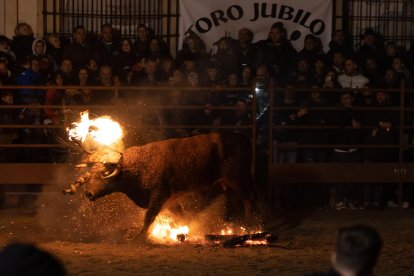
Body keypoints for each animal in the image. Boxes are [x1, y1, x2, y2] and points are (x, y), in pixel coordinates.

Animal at [64, 133, 256, 238]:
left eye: (103, 174)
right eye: (92, 174)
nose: (88, 193)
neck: (137, 166)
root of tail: (243, 139)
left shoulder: (159, 195)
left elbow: (149, 217)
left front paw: (139, 237)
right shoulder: (170, 200)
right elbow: (180, 215)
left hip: (237, 180)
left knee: (248, 200)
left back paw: (250, 224)